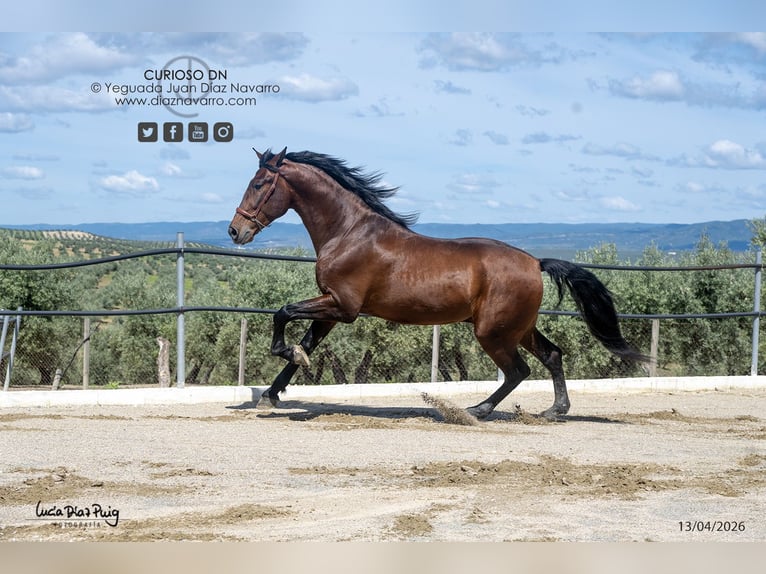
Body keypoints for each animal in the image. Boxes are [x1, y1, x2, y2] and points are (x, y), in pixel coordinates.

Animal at [228, 147, 647, 419]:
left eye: (260, 183)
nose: (235, 231)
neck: (348, 233)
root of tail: (535, 262)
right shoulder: (331, 309)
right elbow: (305, 341)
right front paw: (273, 392)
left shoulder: (343, 307)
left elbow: (282, 313)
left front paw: (285, 361)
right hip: (518, 327)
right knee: (553, 356)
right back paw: (555, 410)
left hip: (493, 331)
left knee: (519, 370)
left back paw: (476, 410)